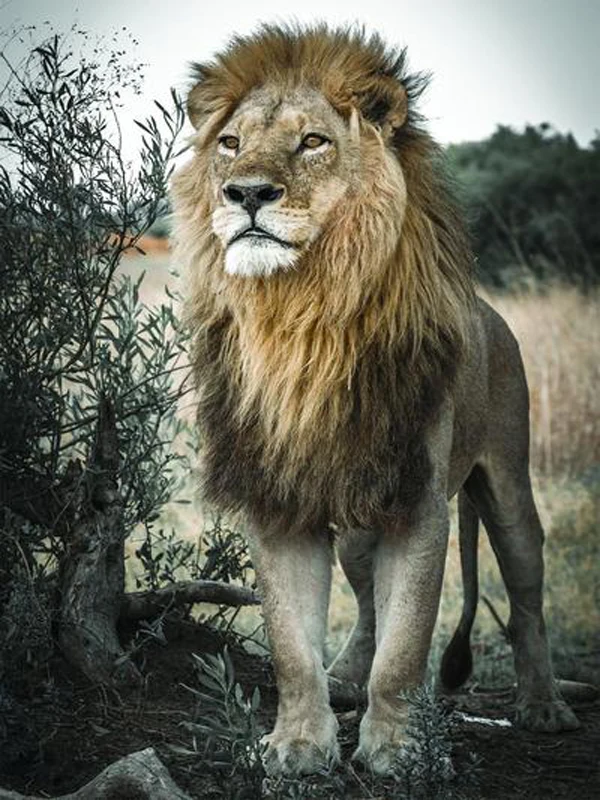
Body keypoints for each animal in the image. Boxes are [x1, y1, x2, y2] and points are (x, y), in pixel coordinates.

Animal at [171, 24, 587, 777]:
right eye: (231, 143)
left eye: (313, 141)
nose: (245, 193)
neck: (302, 315)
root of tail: (491, 311)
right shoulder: (282, 498)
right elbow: (291, 646)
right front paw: (298, 745)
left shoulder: (419, 505)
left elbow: (407, 644)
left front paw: (397, 748)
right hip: (362, 519)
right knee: (365, 602)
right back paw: (344, 676)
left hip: (508, 485)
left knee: (526, 597)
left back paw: (542, 705)